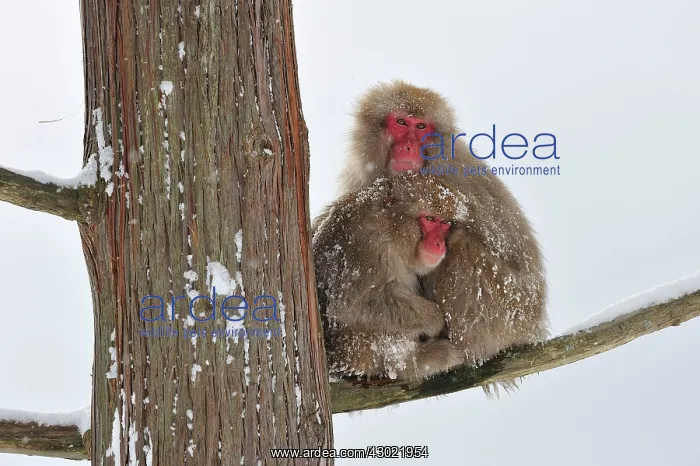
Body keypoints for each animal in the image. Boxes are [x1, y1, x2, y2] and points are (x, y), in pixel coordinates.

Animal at [312, 173, 470, 380]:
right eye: (429, 218)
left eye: (444, 223)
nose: (439, 243)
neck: (390, 230)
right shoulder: (367, 249)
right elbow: (353, 306)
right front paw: (435, 319)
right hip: (355, 352)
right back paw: (424, 359)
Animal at [334, 80, 549, 368]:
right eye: (401, 122)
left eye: (421, 127)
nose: (410, 146)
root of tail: (533, 328)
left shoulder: (447, 172)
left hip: (508, 313)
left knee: (460, 246)